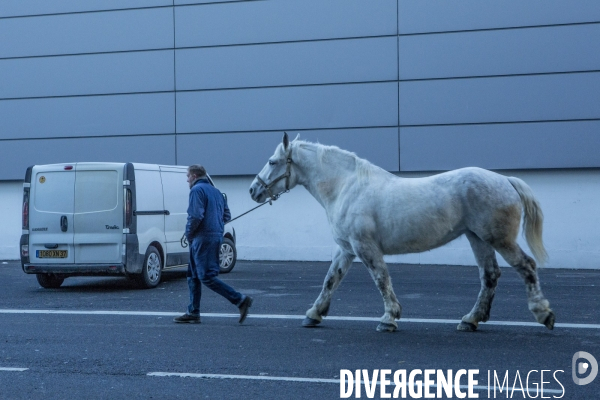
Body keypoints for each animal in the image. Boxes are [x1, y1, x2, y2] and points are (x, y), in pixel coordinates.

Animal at [247, 133, 552, 332]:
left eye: (272, 162)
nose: (253, 190)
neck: (345, 187)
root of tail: (505, 180)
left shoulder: (365, 247)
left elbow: (381, 279)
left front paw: (389, 318)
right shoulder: (346, 249)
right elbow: (330, 280)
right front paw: (313, 314)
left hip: (498, 239)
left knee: (526, 266)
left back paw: (543, 314)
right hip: (477, 238)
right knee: (489, 276)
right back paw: (470, 319)